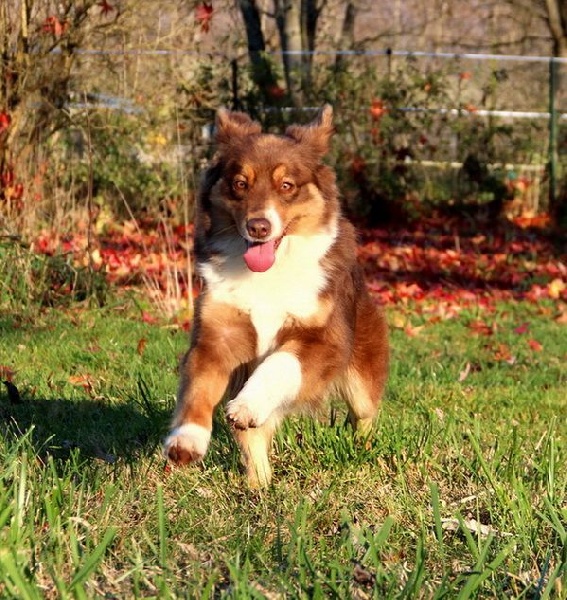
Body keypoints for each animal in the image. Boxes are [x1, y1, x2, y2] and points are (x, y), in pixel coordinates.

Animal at [162, 104, 388, 488]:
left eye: (287, 185)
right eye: (240, 183)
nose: (259, 227)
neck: (268, 273)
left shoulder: (323, 339)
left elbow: (281, 362)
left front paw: (247, 404)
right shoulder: (216, 335)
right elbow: (199, 389)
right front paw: (186, 440)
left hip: (362, 373)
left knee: (365, 413)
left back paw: (364, 449)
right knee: (254, 439)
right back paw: (259, 486)